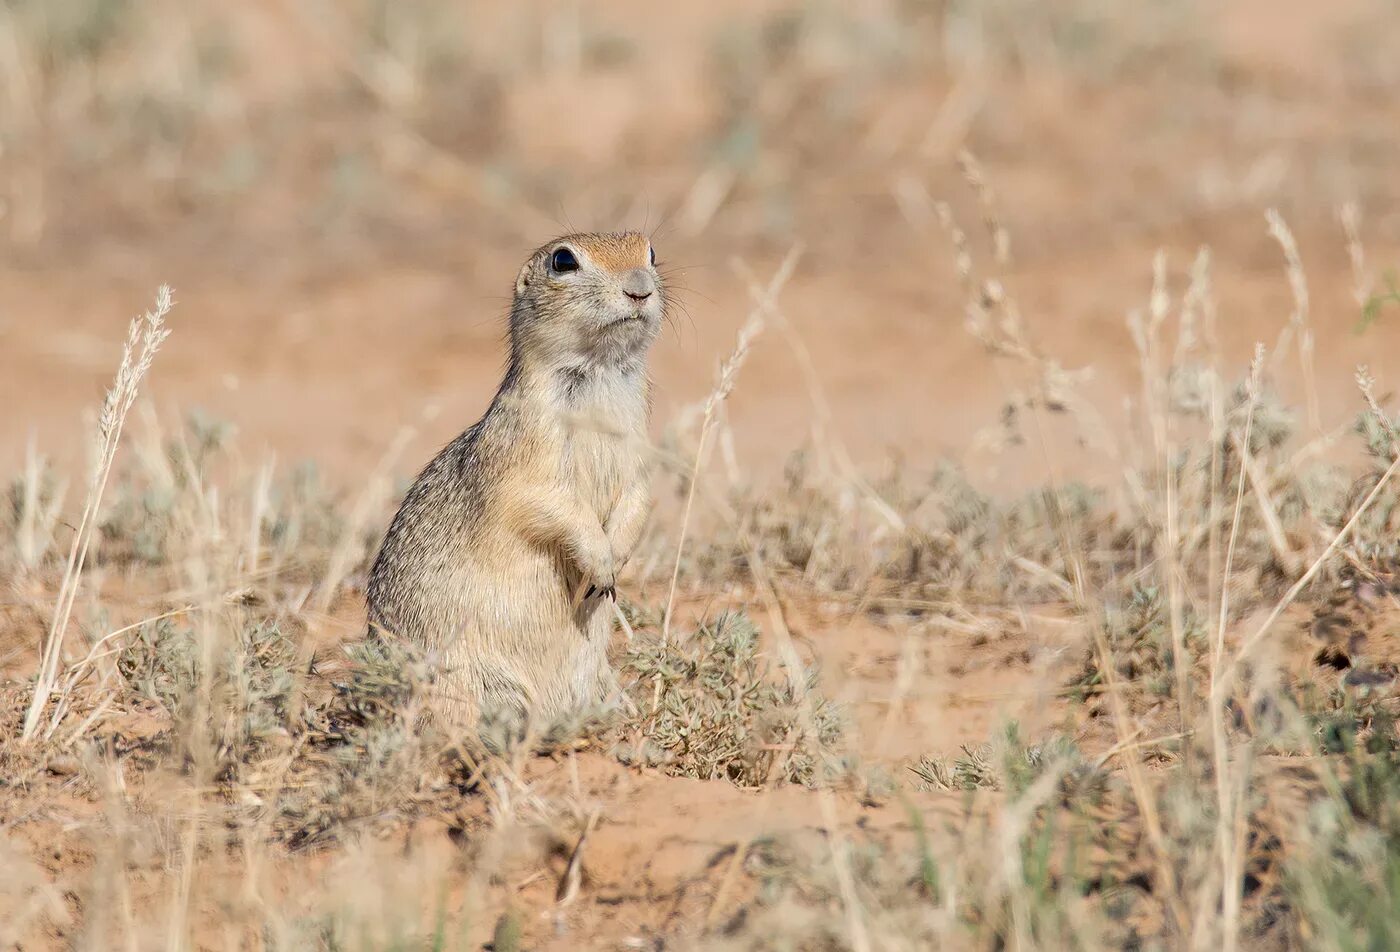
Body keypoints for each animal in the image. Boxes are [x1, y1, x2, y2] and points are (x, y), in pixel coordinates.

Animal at [366, 231, 660, 728]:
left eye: (651, 253)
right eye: (563, 261)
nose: (640, 288)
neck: (599, 373)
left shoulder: (640, 453)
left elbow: (640, 499)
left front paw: (616, 559)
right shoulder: (525, 456)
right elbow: (549, 504)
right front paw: (600, 563)